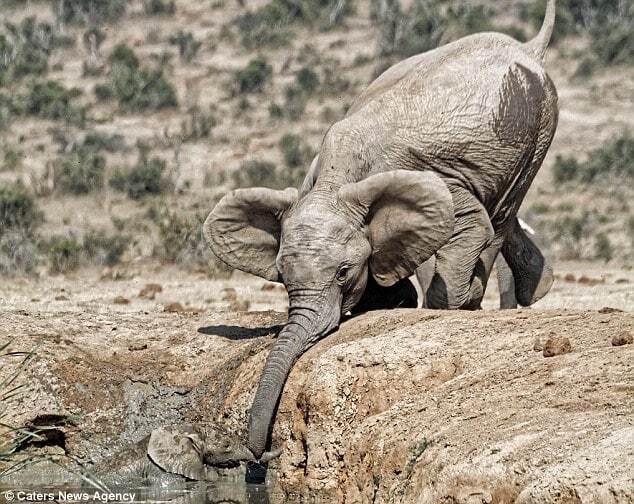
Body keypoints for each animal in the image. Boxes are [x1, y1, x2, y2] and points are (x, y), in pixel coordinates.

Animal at [205, 0, 556, 464]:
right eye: (281, 277)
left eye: (342, 273)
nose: (262, 456)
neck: (336, 179)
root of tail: (528, 47)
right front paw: (396, 298)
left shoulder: (436, 180)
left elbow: (470, 223)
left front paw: (447, 306)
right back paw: (537, 287)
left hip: (538, 125)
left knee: (499, 215)